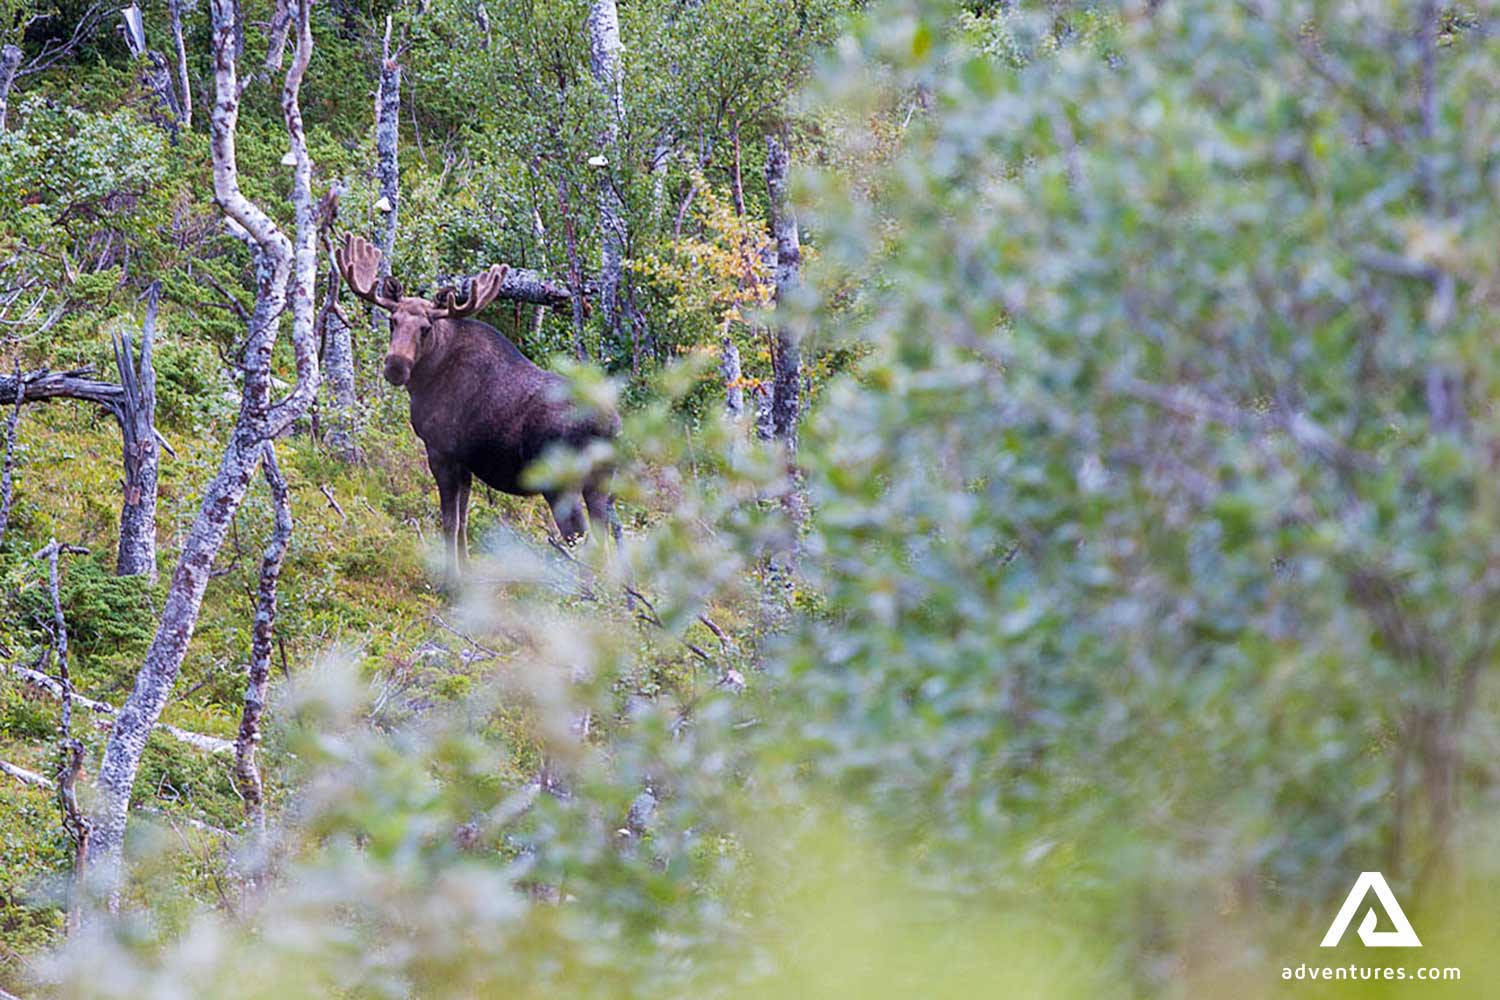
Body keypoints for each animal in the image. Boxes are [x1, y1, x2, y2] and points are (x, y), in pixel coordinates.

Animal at [335, 234, 620, 585]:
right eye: (393, 321)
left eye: (425, 328)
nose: (396, 367)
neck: (428, 376)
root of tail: (609, 425)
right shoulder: (465, 461)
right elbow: (463, 518)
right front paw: (466, 569)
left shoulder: (441, 451)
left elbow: (448, 520)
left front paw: (449, 581)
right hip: (601, 481)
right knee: (603, 541)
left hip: (559, 482)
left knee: (579, 539)